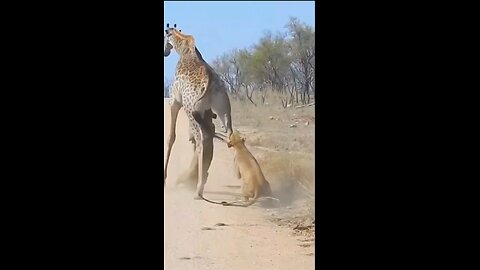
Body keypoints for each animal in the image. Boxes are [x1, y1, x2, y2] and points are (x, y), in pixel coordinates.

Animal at [162, 24, 232, 199]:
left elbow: (171, 137)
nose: (165, 52)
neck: (183, 49)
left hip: (191, 110)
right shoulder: (206, 112)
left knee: (202, 140)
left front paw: (165, 179)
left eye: (165, 37)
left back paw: (198, 189)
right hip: (223, 109)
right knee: (229, 136)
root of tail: (211, 83)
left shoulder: (175, 101)